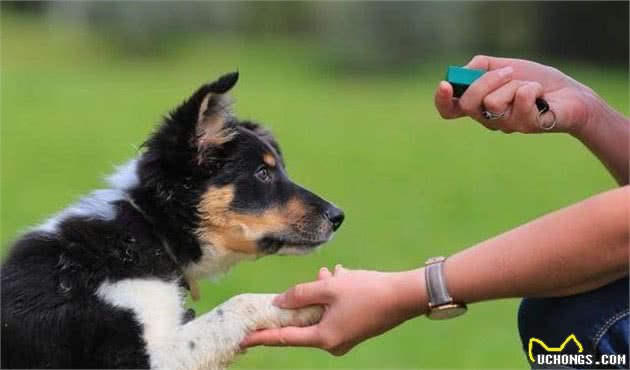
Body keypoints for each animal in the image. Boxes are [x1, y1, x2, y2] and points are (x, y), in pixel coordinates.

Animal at [0, 73, 346, 370]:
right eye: (263, 173)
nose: (338, 216)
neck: (146, 231)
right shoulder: (136, 358)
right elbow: (239, 303)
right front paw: (309, 303)